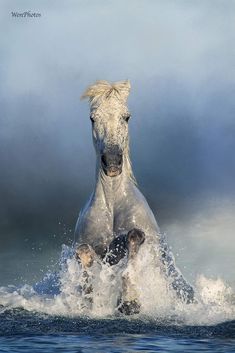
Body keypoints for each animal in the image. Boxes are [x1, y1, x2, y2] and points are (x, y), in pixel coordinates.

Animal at [74, 80, 194, 314]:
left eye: (126, 116)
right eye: (93, 118)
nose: (112, 162)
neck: (112, 205)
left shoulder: (140, 238)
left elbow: (133, 239)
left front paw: (130, 301)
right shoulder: (91, 247)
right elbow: (83, 253)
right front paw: (87, 301)